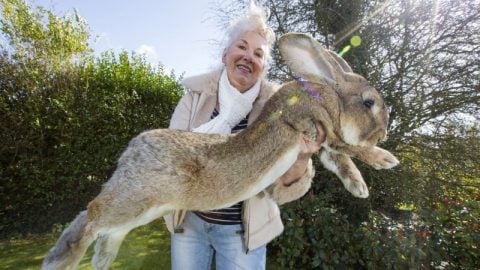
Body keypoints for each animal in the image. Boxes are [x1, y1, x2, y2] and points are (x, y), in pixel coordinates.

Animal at [43, 33, 400, 270]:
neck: (328, 96)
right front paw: (385, 160)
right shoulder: (316, 125)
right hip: (135, 199)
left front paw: (359, 187)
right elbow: (349, 147)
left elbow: (340, 159)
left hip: (141, 209)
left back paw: (99, 260)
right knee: (92, 214)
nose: (385, 131)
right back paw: (63, 260)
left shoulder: (322, 142)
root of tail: (130, 152)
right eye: (369, 103)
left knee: (106, 229)